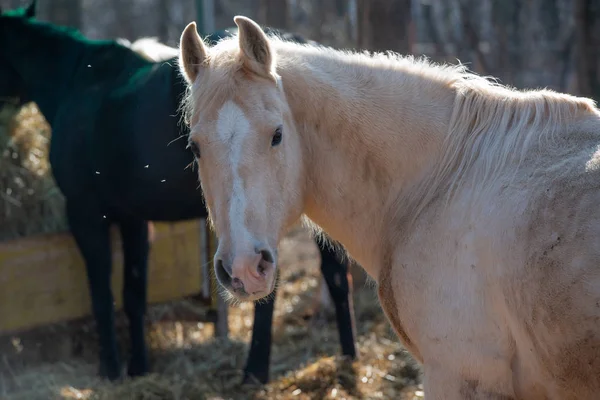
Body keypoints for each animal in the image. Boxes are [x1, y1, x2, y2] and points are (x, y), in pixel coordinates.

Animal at [0, 2, 356, 384]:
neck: (78, 82)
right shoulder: (132, 219)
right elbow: (133, 294)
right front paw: (138, 366)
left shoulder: (86, 215)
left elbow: (102, 296)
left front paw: (110, 369)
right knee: (335, 276)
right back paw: (348, 356)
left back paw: (254, 370)